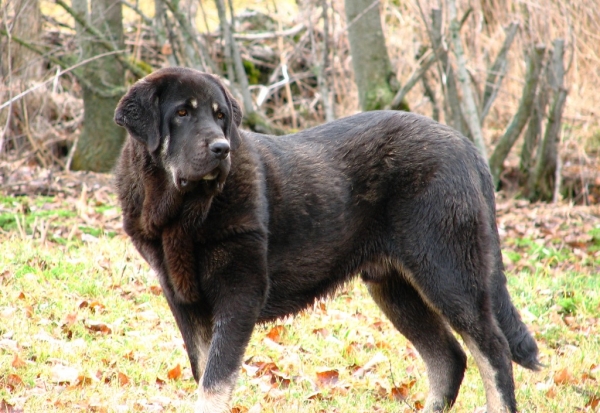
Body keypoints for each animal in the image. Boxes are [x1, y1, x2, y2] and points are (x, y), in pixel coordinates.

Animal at [112, 67, 540, 412]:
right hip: (395, 288)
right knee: (449, 358)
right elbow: (203, 372)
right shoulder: (185, 301)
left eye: (220, 117)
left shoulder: (239, 294)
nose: (222, 147)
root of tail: (468, 147)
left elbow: (215, 381)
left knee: (492, 350)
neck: (181, 216)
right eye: (182, 113)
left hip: (448, 272)